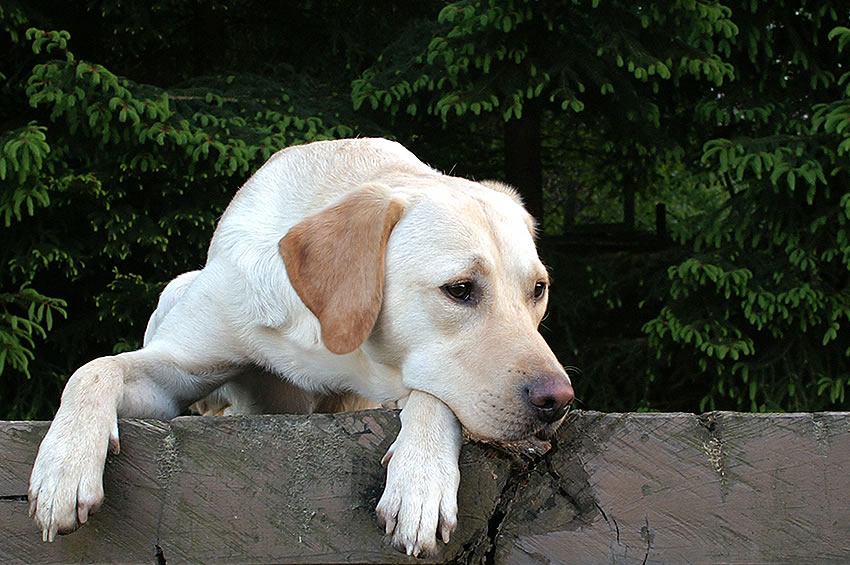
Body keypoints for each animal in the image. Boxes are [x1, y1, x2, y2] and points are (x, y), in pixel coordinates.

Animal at [26, 138, 572, 556]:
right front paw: (63, 466)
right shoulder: (177, 368)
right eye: (460, 289)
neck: (321, 334)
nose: (559, 401)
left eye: (538, 290)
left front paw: (420, 481)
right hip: (176, 289)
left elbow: (431, 396)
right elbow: (94, 368)